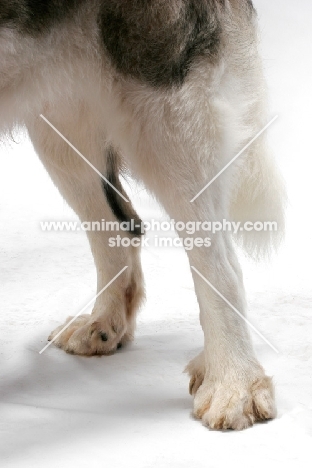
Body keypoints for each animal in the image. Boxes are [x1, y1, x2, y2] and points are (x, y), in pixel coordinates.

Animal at [0, 0, 286, 432]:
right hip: (60, 119)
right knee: (120, 227)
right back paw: (103, 322)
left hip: (166, 108)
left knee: (219, 262)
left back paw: (233, 384)